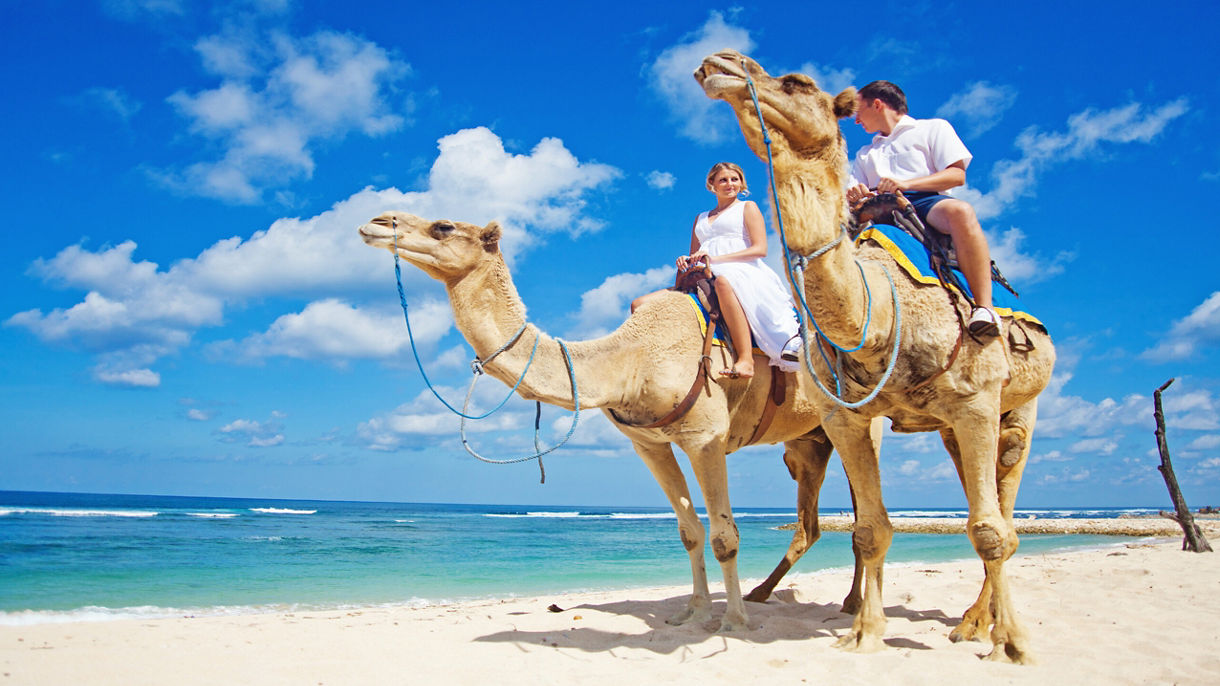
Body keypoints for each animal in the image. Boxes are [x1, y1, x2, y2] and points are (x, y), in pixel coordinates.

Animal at [359, 212, 869, 632]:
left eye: (442, 226)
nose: (375, 221)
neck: (633, 358)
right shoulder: (650, 444)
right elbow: (689, 532)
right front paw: (693, 613)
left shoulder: (705, 437)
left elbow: (725, 535)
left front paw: (734, 623)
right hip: (808, 443)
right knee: (818, 521)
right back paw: (794, 597)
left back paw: (844, 606)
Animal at [696, 50, 1055, 664]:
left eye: (796, 82)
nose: (721, 61)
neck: (879, 313)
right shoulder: (845, 417)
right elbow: (870, 529)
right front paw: (865, 632)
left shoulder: (976, 402)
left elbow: (991, 531)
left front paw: (1017, 646)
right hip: (949, 429)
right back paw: (969, 623)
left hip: (1016, 408)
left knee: (1002, 511)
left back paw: (982, 627)